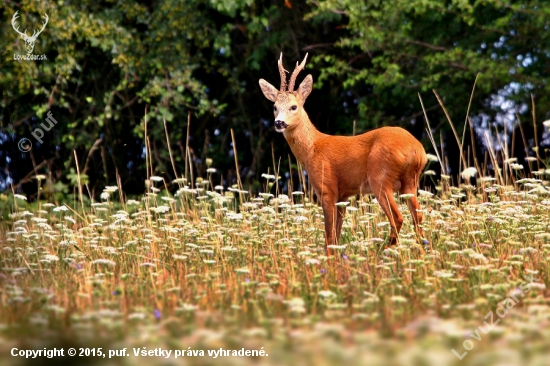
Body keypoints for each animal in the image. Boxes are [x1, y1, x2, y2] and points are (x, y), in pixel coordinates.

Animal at [260, 53, 430, 254]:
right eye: (274, 107)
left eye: (294, 107)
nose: (278, 123)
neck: (313, 148)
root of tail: (416, 149)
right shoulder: (343, 196)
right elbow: (337, 234)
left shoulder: (326, 188)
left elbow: (329, 235)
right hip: (410, 182)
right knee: (418, 217)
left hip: (380, 177)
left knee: (398, 218)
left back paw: (382, 252)